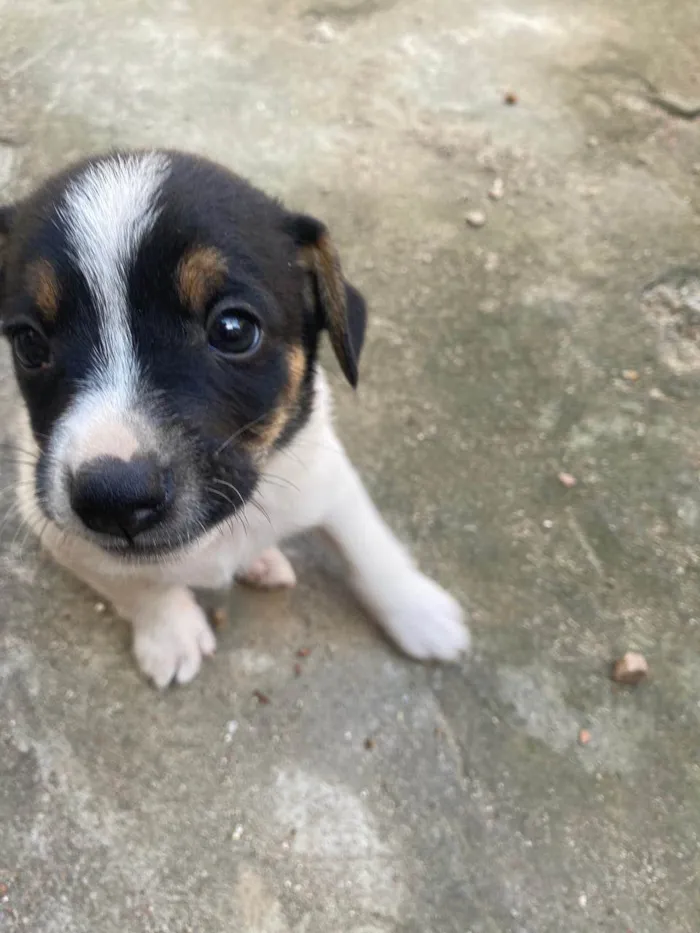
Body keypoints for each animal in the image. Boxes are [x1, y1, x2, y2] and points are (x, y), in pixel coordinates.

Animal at [1, 151, 470, 684]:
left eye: (232, 329)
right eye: (29, 342)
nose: (115, 498)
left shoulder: (324, 471)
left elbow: (367, 543)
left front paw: (418, 610)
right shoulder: (56, 528)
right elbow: (137, 587)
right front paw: (171, 633)